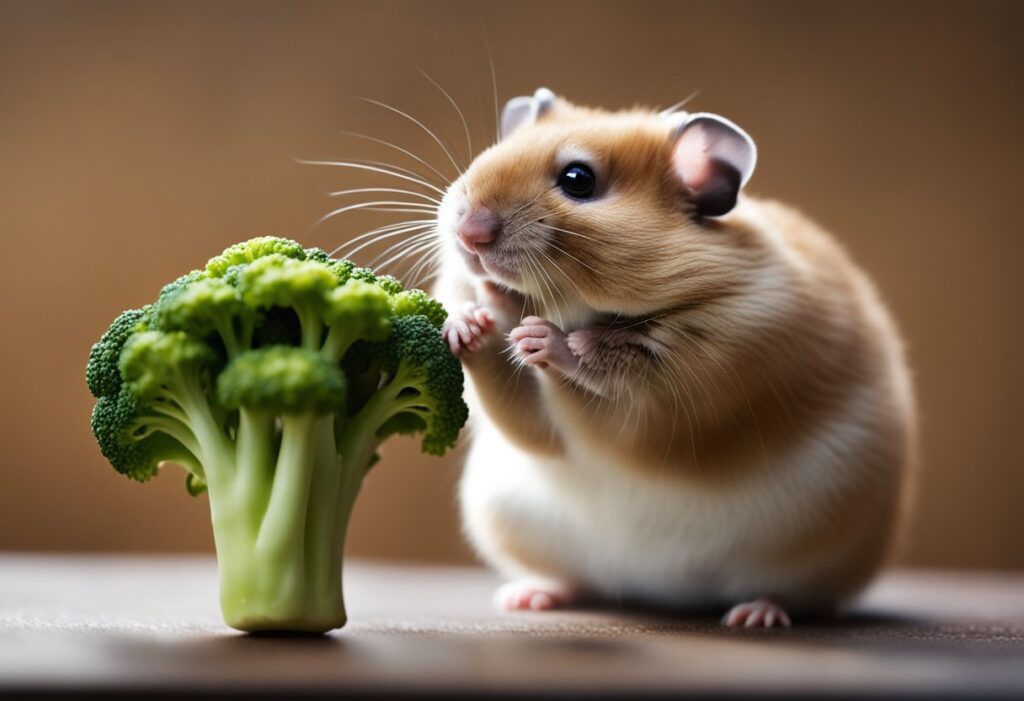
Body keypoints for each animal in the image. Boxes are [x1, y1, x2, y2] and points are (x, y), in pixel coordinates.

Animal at [431, 87, 915, 627]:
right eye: (490, 153)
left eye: (578, 180)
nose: (470, 235)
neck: (584, 307)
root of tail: (666, 592)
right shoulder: (542, 434)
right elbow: (524, 419)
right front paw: (468, 321)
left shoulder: (693, 384)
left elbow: (603, 391)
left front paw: (541, 338)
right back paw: (527, 596)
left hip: (817, 548)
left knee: (798, 595)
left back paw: (756, 616)